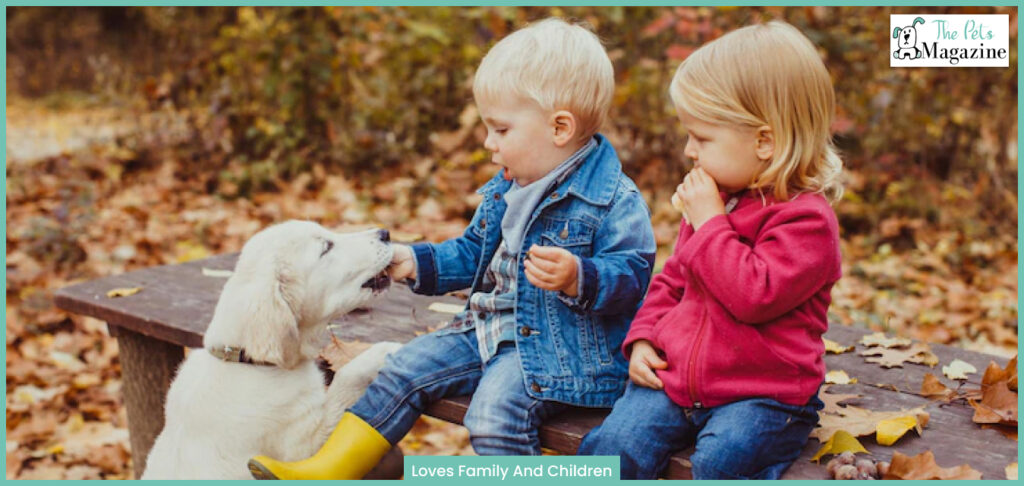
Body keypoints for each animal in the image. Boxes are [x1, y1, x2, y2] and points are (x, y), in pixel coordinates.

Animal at [144, 223, 399, 480]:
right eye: (326, 247)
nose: (385, 233)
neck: (247, 360)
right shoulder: (306, 451)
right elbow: (346, 381)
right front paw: (383, 351)